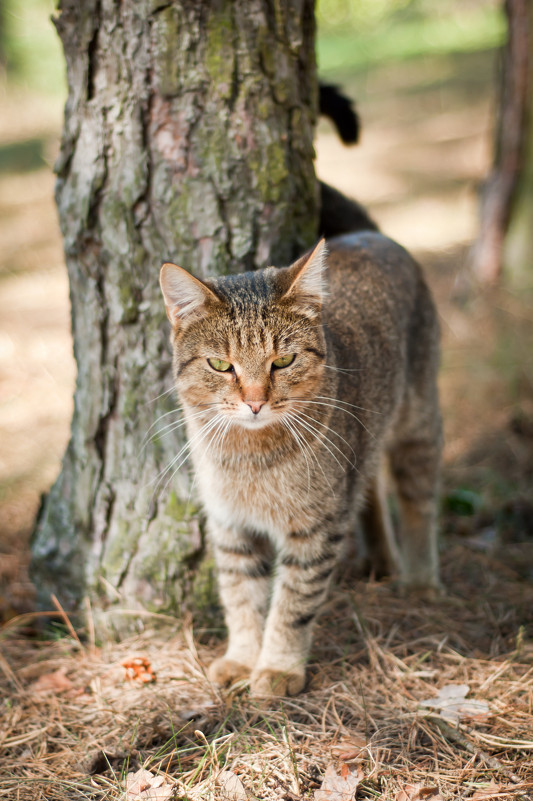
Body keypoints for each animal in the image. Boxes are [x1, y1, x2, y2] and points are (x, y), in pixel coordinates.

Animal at [158, 230, 440, 692]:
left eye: (283, 361)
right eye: (220, 365)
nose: (255, 402)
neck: (251, 457)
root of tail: (374, 235)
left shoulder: (314, 530)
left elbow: (292, 604)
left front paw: (277, 667)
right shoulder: (231, 525)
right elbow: (241, 597)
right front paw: (242, 657)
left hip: (418, 427)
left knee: (418, 503)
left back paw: (420, 579)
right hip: (361, 452)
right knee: (370, 491)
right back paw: (381, 558)